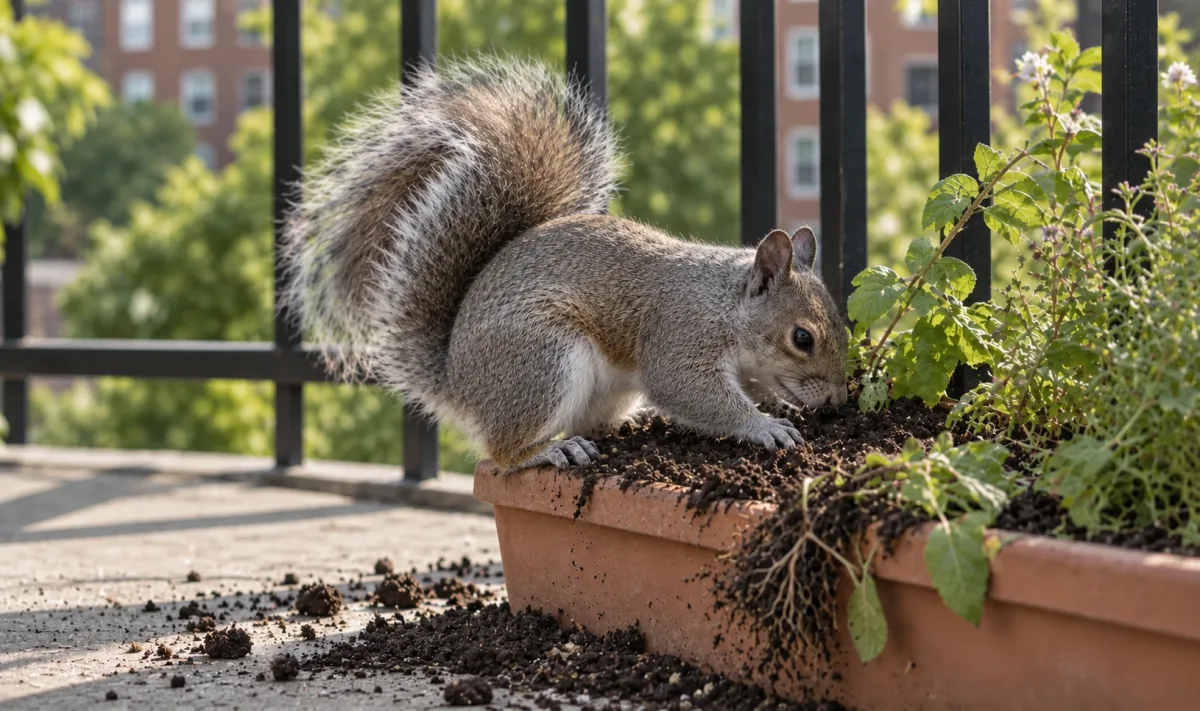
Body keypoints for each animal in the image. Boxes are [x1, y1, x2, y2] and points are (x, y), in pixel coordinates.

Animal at [281, 55, 849, 472]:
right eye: (802, 338)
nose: (836, 400)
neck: (726, 305)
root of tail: (459, 384)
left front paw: (779, 407)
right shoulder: (681, 336)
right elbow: (692, 391)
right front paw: (765, 426)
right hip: (542, 359)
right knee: (502, 450)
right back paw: (552, 449)